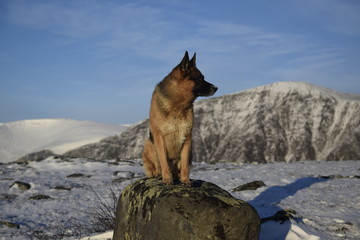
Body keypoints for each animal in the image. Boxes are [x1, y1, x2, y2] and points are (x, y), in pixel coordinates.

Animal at [143, 51, 217, 185]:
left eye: (203, 77)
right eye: (199, 79)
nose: (216, 88)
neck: (178, 105)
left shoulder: (187, 137)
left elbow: (184, 164)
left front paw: (185, 180)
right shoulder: (159, 137)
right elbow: (164, 162)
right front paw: (167, 180)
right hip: (148, 144)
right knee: (156, 166)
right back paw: (158, 174)